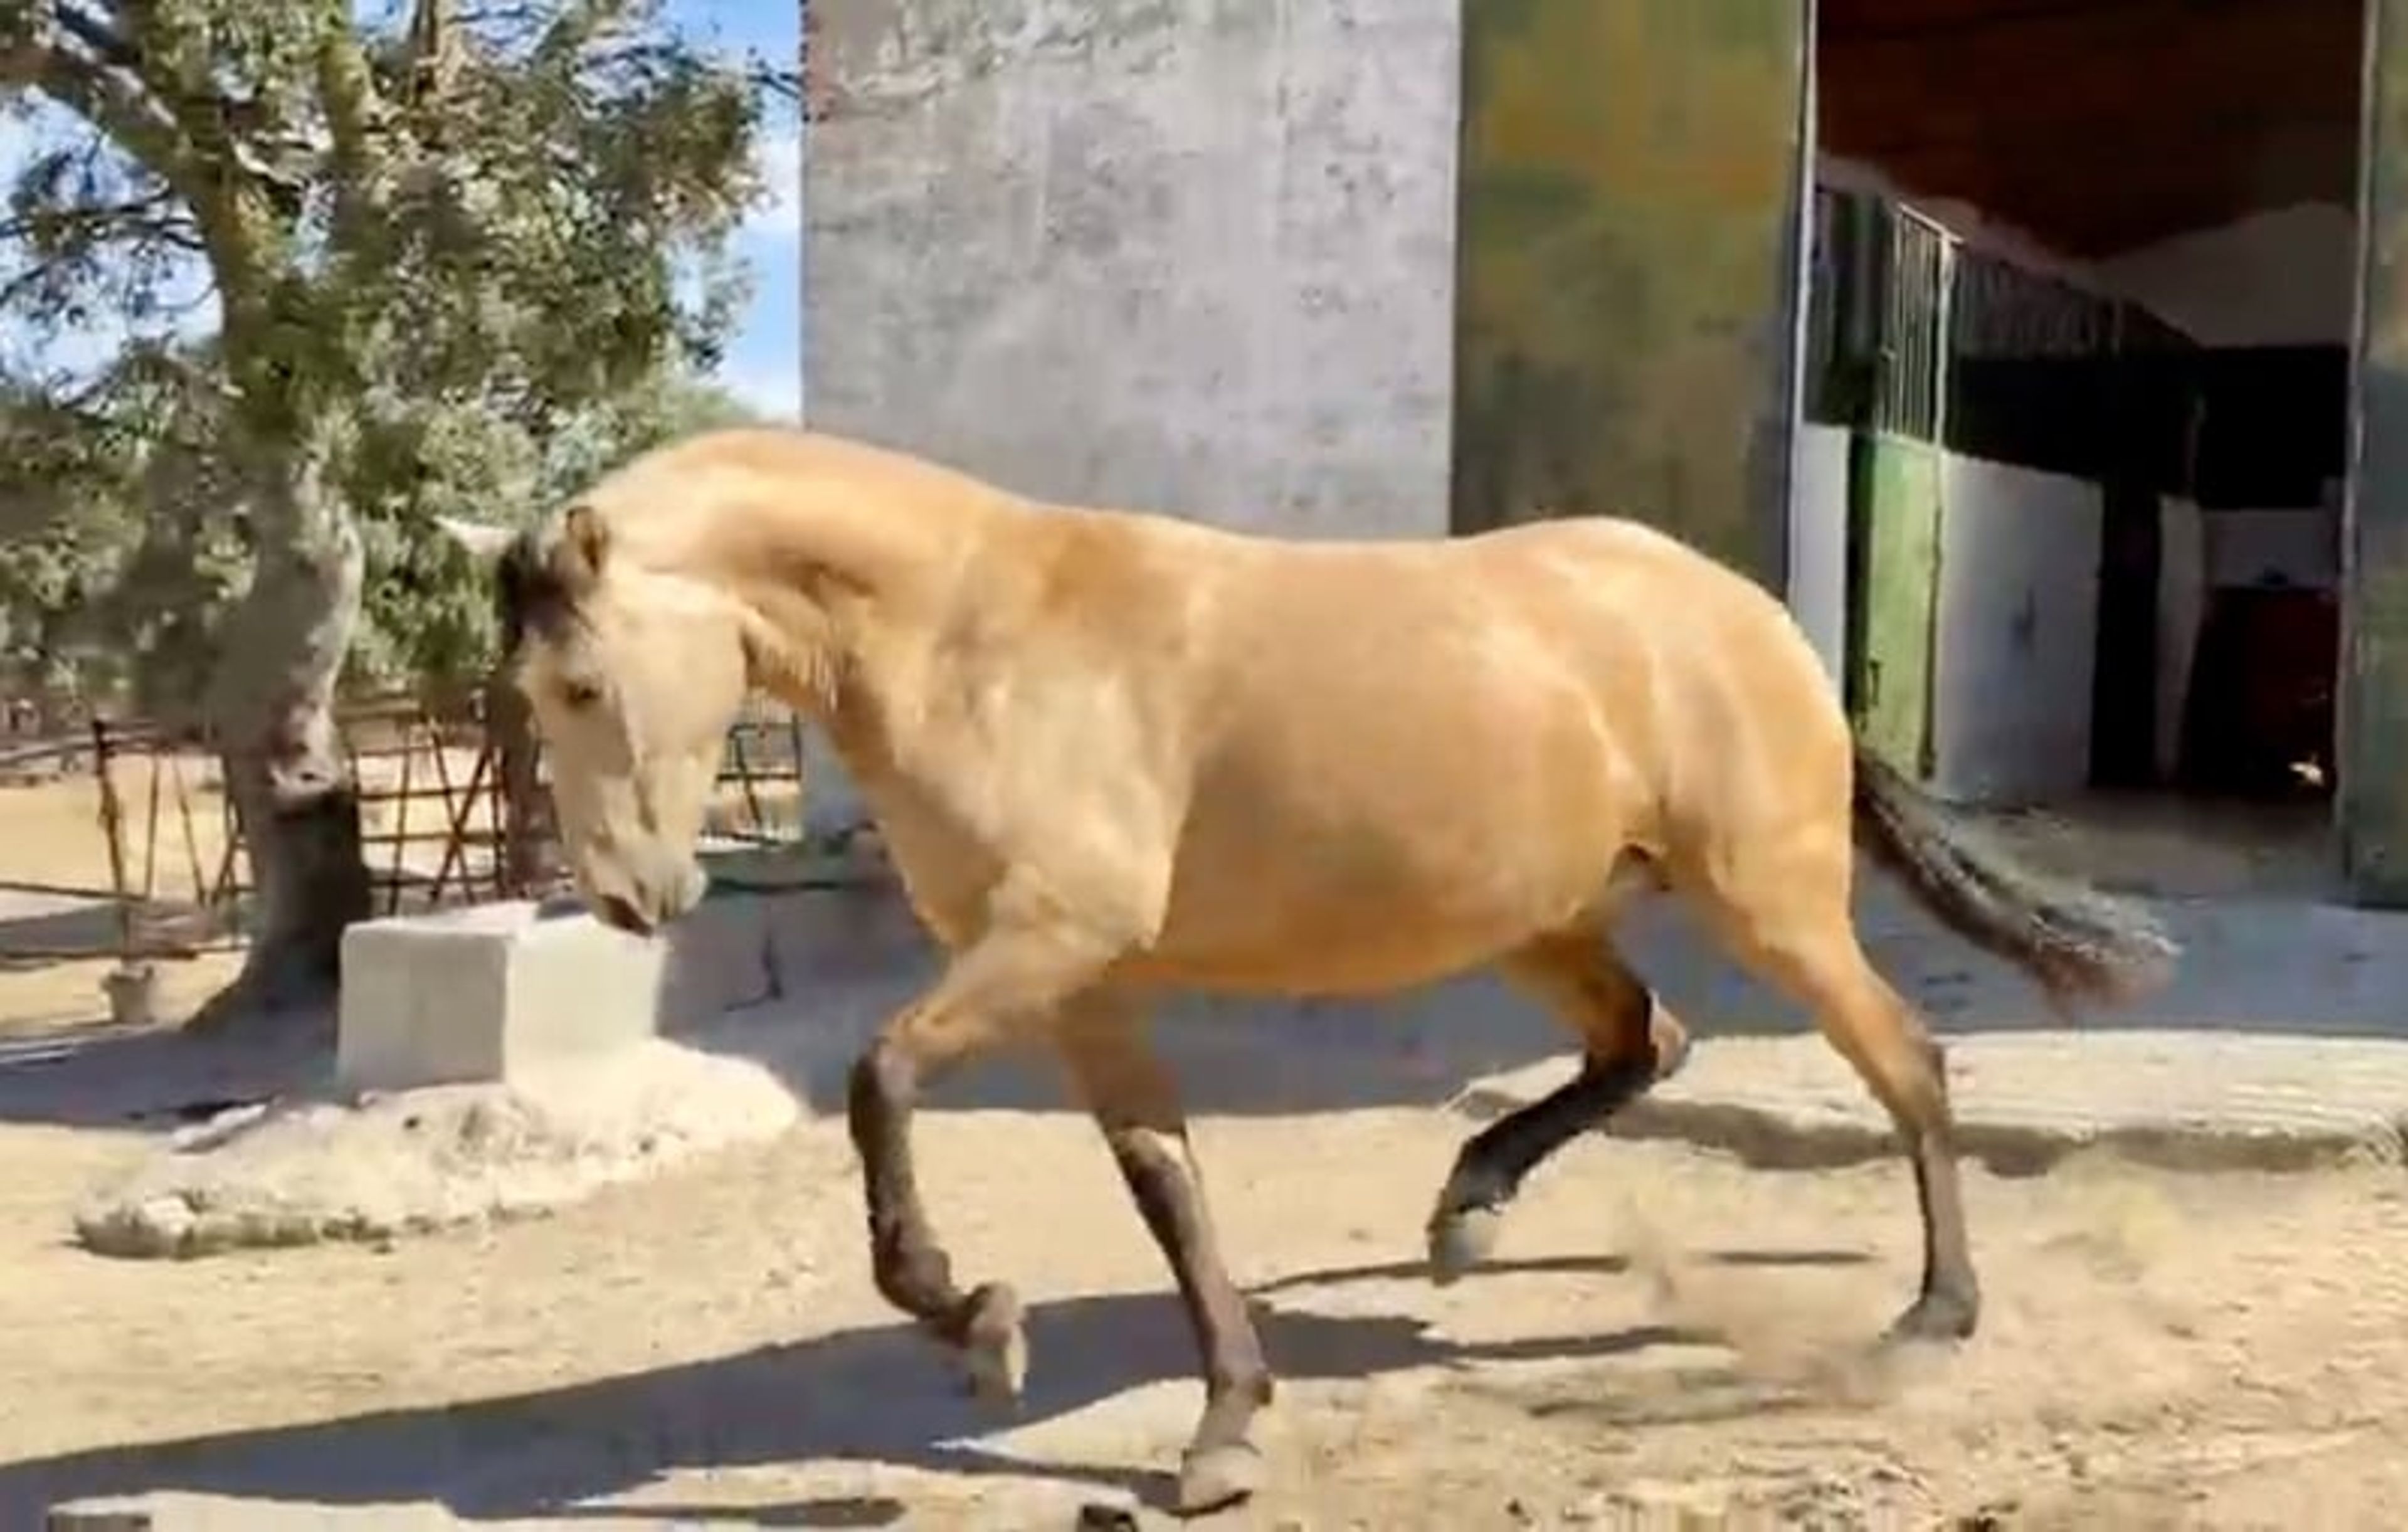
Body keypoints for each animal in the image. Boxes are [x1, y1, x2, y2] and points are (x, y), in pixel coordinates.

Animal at [439, 426, 2175, 1516]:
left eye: (579, 682)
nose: (631, 900)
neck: (973, 634)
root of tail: (1754, 619)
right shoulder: (1085, 984)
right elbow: (1168, 1189)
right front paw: (1220, 1432)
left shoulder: (1048, 940)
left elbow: (879, 1079)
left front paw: (975, 1316)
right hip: (1541, 917)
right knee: (1649, 1042)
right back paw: (1467, 1212)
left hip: (1775, 902)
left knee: (1904, 1064)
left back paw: (1934, 1315)